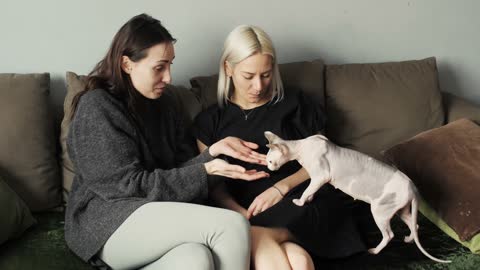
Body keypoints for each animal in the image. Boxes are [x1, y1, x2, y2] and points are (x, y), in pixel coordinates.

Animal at [264, 131, 452, 264]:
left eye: (270, 162)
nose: (270, 170)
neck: (302, 146)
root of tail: (412, 187)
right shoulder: (317, 179)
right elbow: (311, 190)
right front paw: (309, 200)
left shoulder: (321, 176)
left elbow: (307, 190)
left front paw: (300, 202)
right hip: (401, 210)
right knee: (415, 224)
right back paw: (409, 239)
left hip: (379, 211)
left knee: (389, 235)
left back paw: (375, 251)